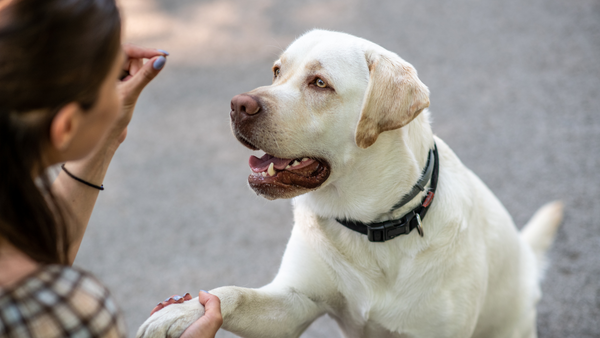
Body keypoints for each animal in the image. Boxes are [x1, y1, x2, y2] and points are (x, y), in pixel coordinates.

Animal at [138, 29, 564, 338]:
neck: (372, 226)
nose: (237, 105)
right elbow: (232, 294)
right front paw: (181, 312)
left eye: (319, 83)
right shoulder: (292, 304)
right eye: (277, 71)